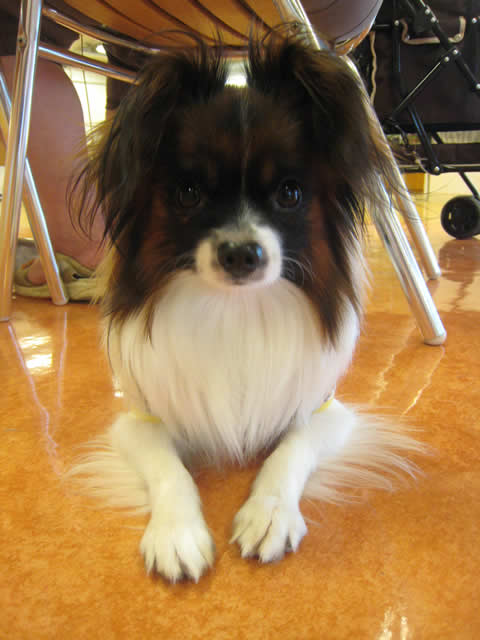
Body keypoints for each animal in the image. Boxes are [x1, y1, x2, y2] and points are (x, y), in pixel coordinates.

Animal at [71, 33, 424, 583]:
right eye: (188, 193)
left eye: (290, 193)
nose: (241, 253)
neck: (233, 310)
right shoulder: (136, 421)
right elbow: (168, 467)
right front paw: (176, 532)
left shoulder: (327, 412)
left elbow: (291, 450)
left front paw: (269, 513)